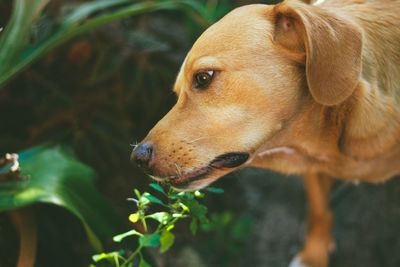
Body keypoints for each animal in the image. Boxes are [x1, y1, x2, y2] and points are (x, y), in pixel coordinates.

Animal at [132, 1, 400, 266]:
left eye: (203, 77)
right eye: (177, 94)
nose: (137, 157)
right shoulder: (314, 171)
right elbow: (319, 210)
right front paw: (313, 256)